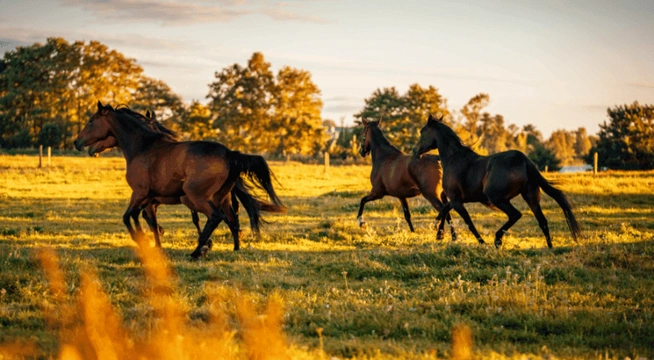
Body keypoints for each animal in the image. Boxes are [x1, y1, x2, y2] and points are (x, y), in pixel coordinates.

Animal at [74, 101, 284, 258]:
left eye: (91, 121)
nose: (77, 142)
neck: (142, 146)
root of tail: (229, 153)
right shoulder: (147, 197)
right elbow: (142, 218)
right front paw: (150, 242)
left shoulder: (140, 194)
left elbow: (130, 217)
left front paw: (143, 241)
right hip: (220, 198)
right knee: (232, 220)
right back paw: (234, 249)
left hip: (196, 196)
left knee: (216, 217)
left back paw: (197, 252)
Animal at [416, 114, 584, 248]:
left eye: (422, 132)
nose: (415, 150)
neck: (453, 158)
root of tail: (524, 160)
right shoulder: (457, 199)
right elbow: (445, 209)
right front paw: (440, 234)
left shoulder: (457, 200)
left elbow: (467, 222)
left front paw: (481, 242)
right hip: (530, 197)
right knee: (542, 221)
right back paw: (549, 248)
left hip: (498, 198)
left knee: (516, 215)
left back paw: (497, 240)